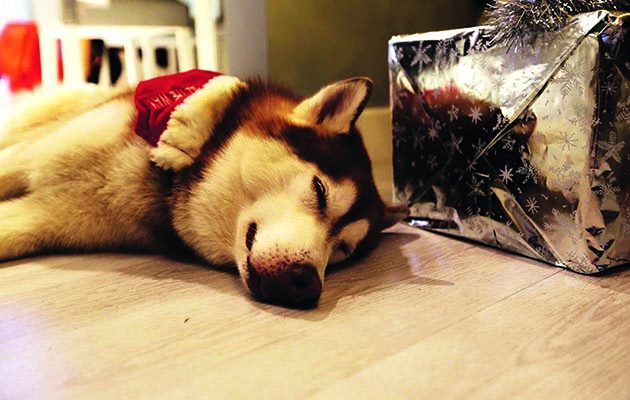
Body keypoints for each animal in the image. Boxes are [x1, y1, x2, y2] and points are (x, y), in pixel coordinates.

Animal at [0, 70, 407, 307]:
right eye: (320, 191)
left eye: (342, 249)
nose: (306, 284)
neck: (164, 180)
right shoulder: (24, 158)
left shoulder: (45, 218)